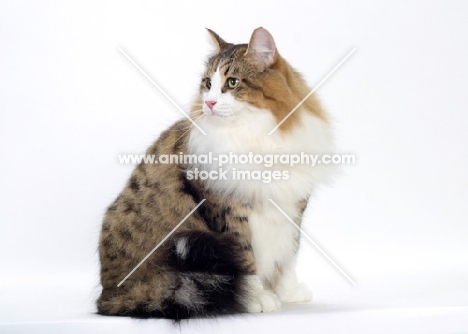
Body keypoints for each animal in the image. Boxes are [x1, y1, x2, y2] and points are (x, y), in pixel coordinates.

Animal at [97, 27, 334, 320]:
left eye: (232, 82)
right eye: (207, 83)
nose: (209, 102)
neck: (255, 135)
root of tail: (107, 296)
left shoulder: (292, 208)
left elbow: (289, 254)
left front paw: (289, 291)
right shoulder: (228, 211)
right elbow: (246, 259)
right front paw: (256, 298)